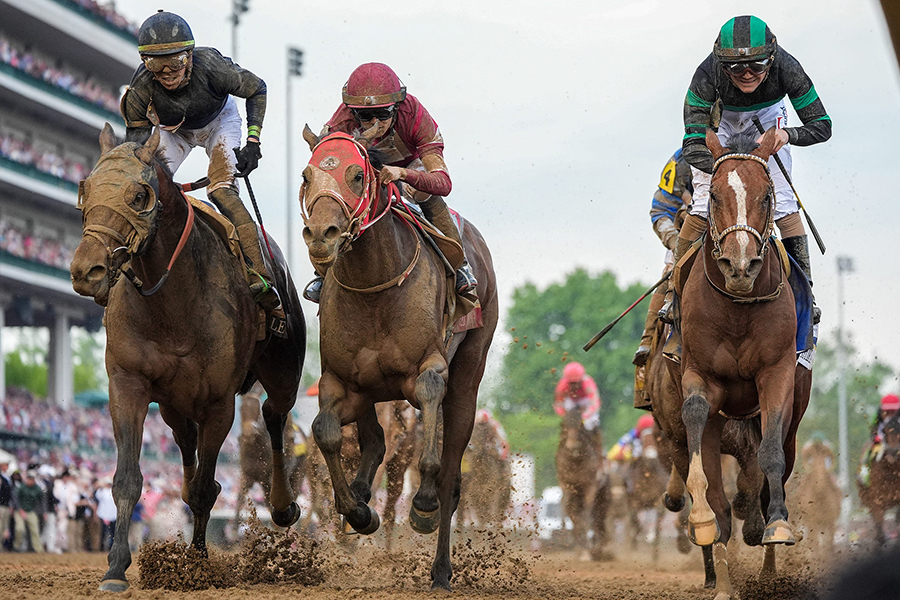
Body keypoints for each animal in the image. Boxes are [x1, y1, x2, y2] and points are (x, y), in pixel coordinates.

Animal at [67, 125, 306, 592]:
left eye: (139, 195)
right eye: (85, 189)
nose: (87, 271)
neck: (173, 303)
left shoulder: (219, 403)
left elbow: (204, 489)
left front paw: (196, 566)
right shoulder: (128, 383)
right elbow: (128, 479)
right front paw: (116, 569)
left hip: (285, 370)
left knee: (274, 414)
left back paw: (283, 505)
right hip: (174, 406)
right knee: (187, 444)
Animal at [302, 127, 500, 592]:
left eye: (358, 175)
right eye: (306, 176)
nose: (321, 234)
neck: (374, 286)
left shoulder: (428, 370)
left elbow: (429, 417)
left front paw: (422, 504)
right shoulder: (342, 381)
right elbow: (325, 431)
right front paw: (358, 512)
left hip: (469, 373)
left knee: (451, 474)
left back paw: (441, 569)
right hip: (370, 390)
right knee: (373, 440)